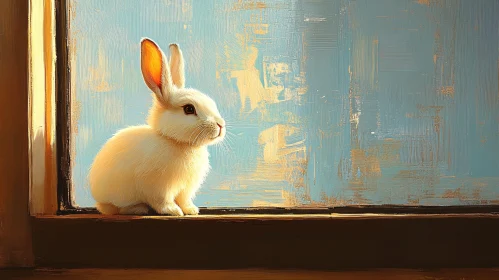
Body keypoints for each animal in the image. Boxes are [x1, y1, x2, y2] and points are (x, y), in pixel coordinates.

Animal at [89, 37, 227, 217]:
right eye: (189, 109)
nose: (220, 125)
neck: (178, 143)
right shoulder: (158, 188)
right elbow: (162, 202)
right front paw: (174, 211)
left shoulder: (186, 189)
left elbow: (184, 200)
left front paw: (191, 210)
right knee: (116, 208)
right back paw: (138, 208)